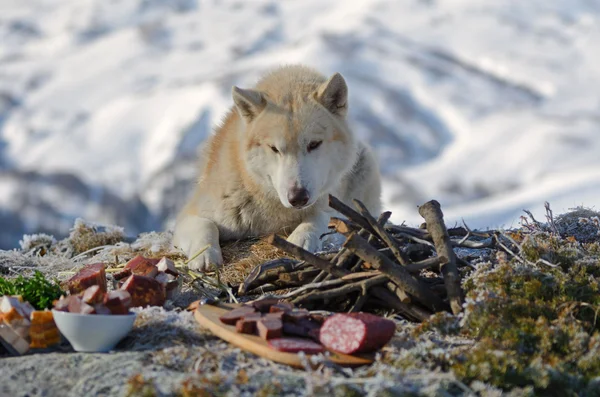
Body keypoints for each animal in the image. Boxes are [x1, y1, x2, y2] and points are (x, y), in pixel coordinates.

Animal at [172, 65, 380, 270]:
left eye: (314, 144)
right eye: (274, 148)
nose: (298, 197)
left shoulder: (333, 205)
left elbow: (322, 217)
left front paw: (301, 238)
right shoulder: (189, 215)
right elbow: (206, 226)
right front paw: (204, 254)